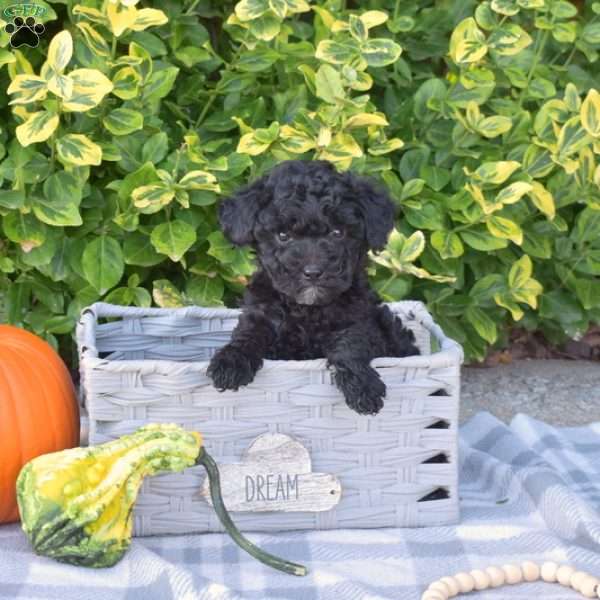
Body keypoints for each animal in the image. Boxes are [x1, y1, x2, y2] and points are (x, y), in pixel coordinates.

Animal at [209, 157, 420, 414]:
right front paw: (230, 362)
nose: (312, 273)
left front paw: (362, 385)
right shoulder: (261, 314)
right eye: (283, 235)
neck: (307, 310)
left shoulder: (358, 319)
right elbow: (248, 333)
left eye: (338, 232)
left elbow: (350, 344)